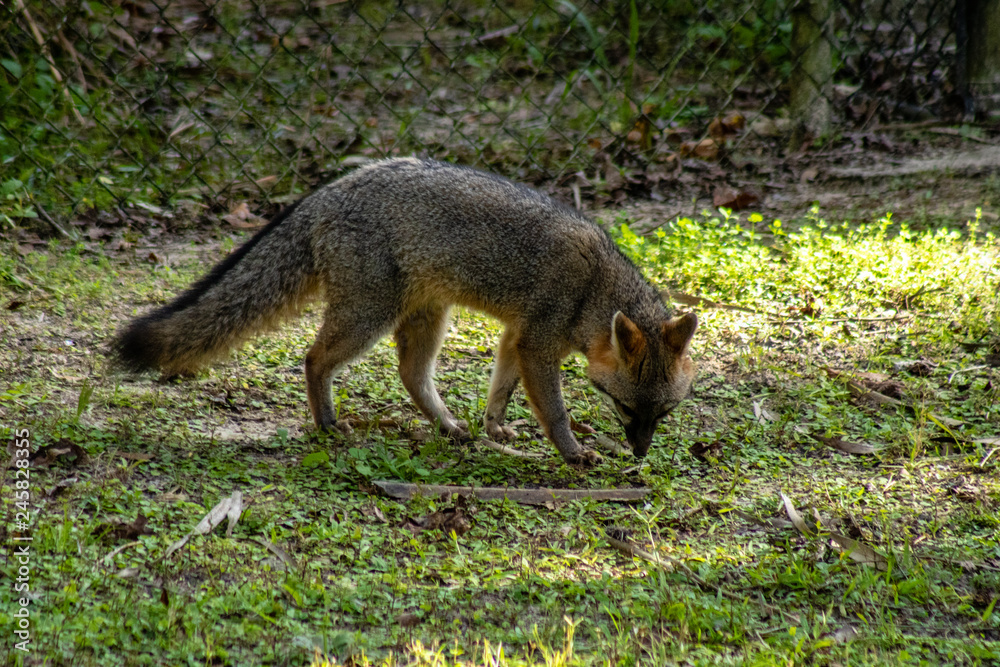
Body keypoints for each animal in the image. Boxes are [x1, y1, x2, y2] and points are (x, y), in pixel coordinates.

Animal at [111, 159, 696, 462]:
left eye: (664, 414)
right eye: (626, 408)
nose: (641, 454)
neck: (595, 286)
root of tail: (328, 190)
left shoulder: (516, 335)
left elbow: (500, 388)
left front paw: (494, 428)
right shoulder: (537, 340)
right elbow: (553, 409)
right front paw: (572, 452)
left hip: (427, 317)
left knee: (411, 376)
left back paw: (449, 426)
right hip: (368, 317)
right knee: (314, 359)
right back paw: (328, 423)